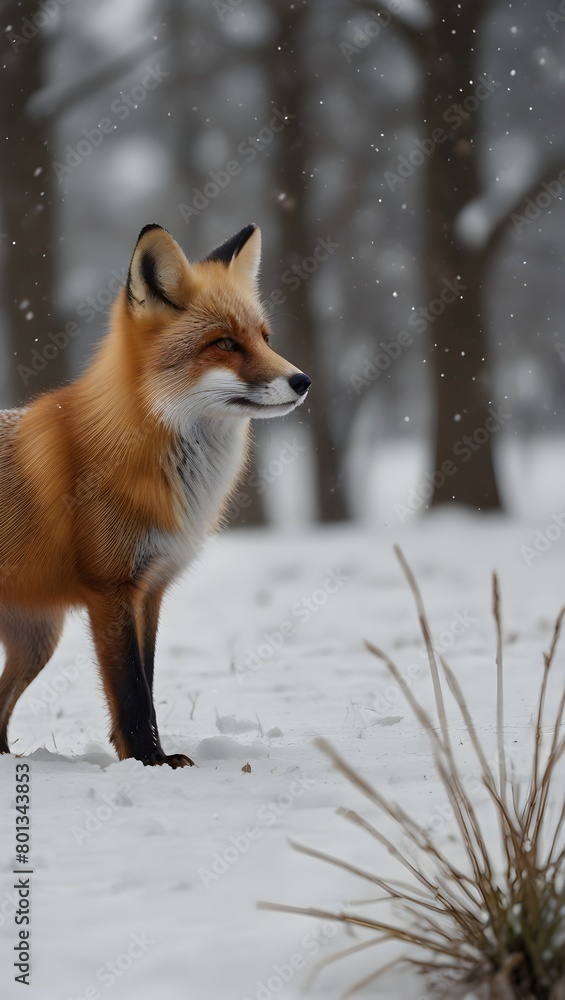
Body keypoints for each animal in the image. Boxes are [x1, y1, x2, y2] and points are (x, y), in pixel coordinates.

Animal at [0, 223, 311, 767]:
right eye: (224, 343)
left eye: (264, 338)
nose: (303, 380)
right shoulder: (111, 589)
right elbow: (130, 690)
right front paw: (148, 761)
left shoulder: (152, 589)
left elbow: (146, 678)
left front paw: (155, 757)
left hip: (36, 638)